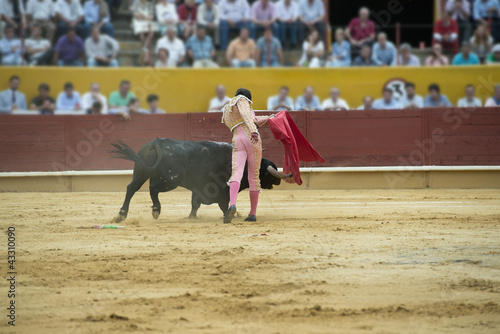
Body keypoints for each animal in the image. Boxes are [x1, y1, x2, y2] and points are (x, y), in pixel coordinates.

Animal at [109, 137, 290, 220]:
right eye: (264, 171)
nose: (278, 180)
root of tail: (156, 143)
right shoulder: (221, 192)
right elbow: (224, 206)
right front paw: (232, 215)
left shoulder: (197, 190)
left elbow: (194, 204)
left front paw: (191, 218)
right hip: (170, 180)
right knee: (153, 189)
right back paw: (156, 210)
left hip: (141, 173)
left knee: (131, 188)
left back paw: (122, 214)